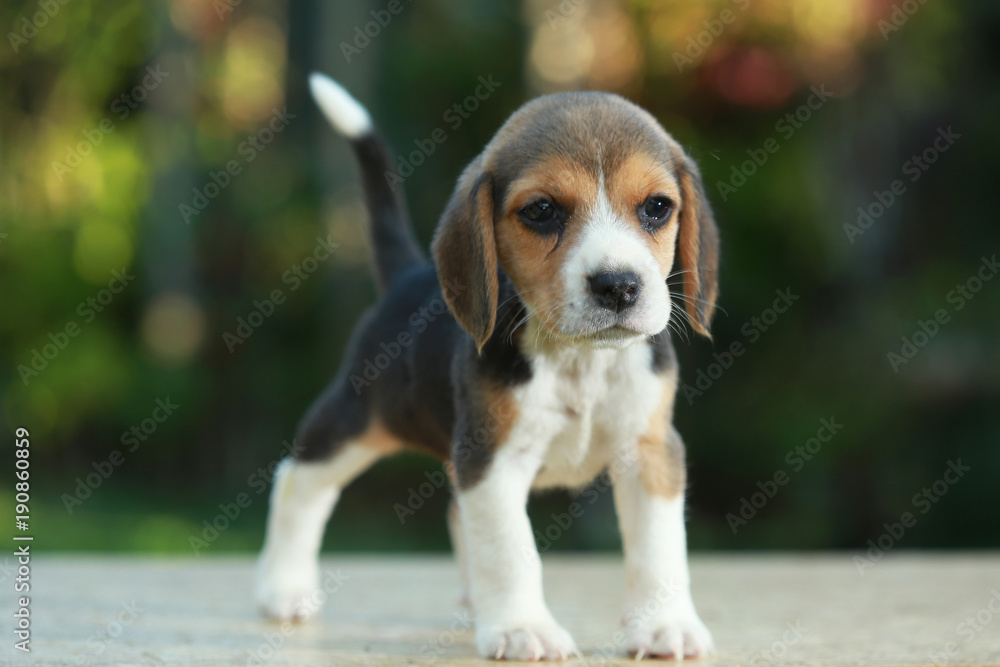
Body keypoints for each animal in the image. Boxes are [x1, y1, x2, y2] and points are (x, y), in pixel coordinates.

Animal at [254, 74, 716, 664]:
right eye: (541, 211)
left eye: (657, 207)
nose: (618, 285)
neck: (578, 359)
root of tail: (408, 274)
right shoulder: (492, 457)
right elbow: (510, 548)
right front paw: (523, 628)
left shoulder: (651, 451)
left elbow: (659, 548)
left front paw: (664, 625)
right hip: (355, 422)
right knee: (298, 483)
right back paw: (283, 589)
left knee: (454, 513)